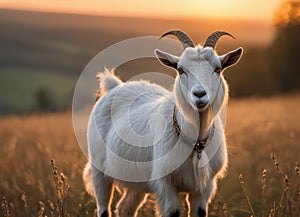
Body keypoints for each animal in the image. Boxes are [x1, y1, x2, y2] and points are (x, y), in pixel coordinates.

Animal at [83, 30, 243, 217]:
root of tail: (115, 86)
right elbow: (172, 212)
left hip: (136, 181)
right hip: (99, 171)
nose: (199, 94)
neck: (195, 142)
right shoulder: (165, 184)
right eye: (180, 69)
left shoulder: (205, 186)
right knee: (103, 207)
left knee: (124, 208)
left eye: (218, 69)